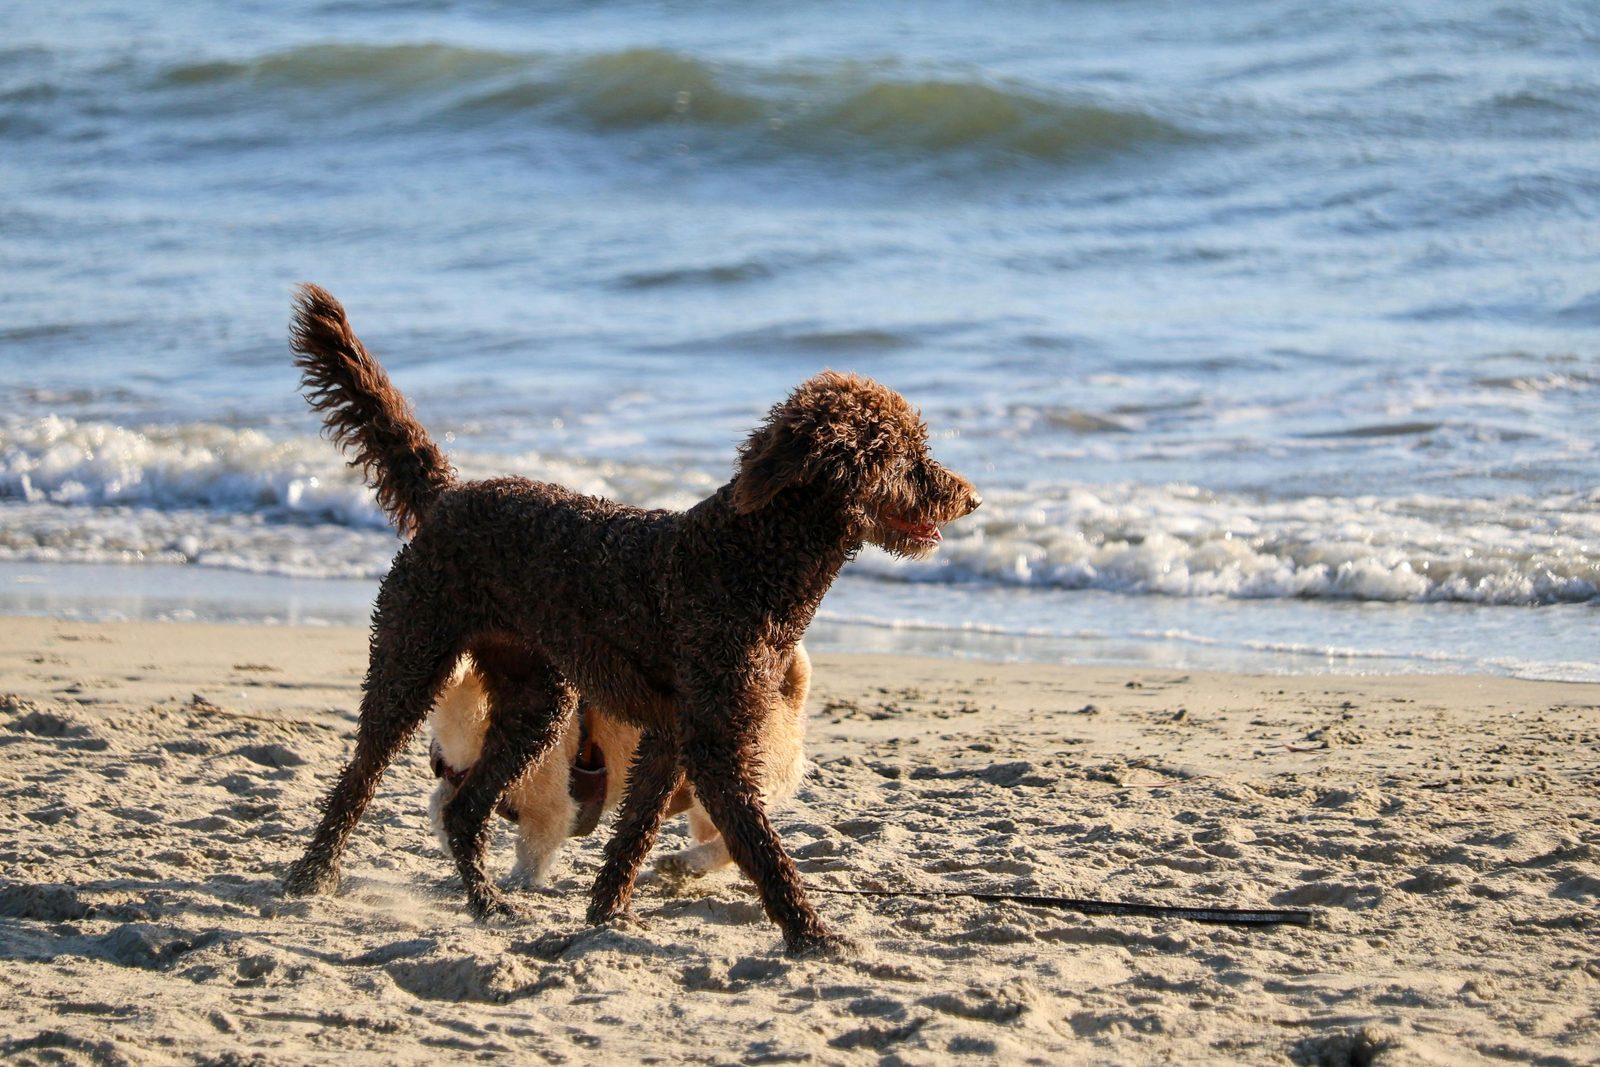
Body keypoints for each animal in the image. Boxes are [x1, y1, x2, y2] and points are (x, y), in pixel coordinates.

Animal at [286, 281, 979, 953]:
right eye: (905, 455)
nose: (971, 498)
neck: (751, 557)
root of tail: (447, 495)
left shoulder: (671, 736)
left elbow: (634, 834)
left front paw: (607, 914)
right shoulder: (714, 745)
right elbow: (760, 847)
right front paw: (811, 934)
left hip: (537, 702)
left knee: (463, 811)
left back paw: (488, 905)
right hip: (412, 658)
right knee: (360, 777)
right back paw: (311, 877)